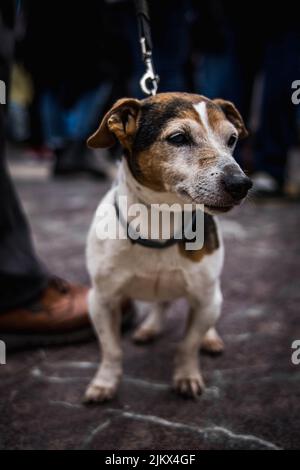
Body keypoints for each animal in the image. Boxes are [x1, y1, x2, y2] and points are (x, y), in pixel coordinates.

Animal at [84, 93, 251, 402]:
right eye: (178, 138)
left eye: (232, 139)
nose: (242, 184)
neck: (159, 225)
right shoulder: (101, 300)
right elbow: (111, 350)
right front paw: (105, 382)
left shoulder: (205, 300)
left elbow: (188, 345)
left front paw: (186, 376)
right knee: (161, 303)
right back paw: (150, 328)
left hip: (212, 297)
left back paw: (210, 338)